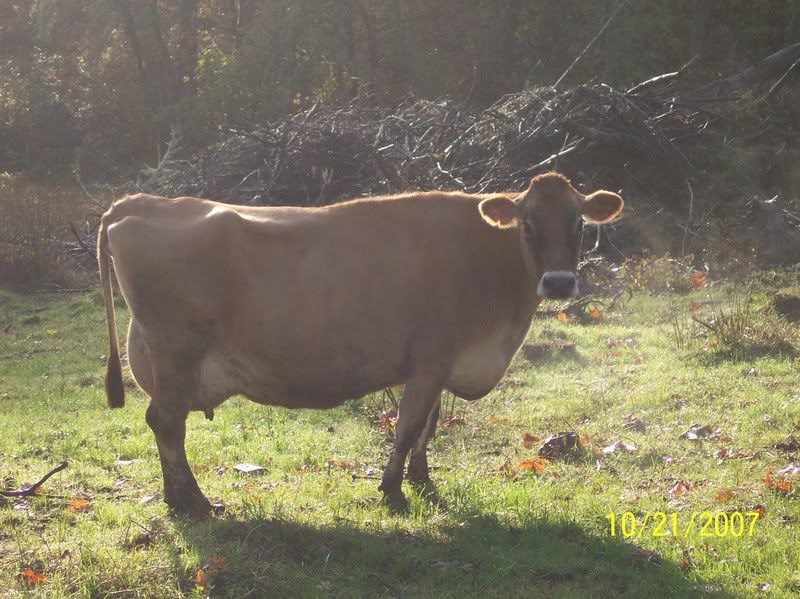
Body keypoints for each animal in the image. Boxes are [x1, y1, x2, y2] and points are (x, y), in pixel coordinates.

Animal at [97, 172, 623, 517]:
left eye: (579, 224)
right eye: (527, 224)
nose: (559, 282)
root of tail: (139, 202)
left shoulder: (441, 362)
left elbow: (429, 425)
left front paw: (421, 478)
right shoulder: (431, 360)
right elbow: (408, 427)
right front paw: (392, 490)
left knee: (162, 423)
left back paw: (177, 497)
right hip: (176, 353)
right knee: (167, 424)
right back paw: (194, 501)